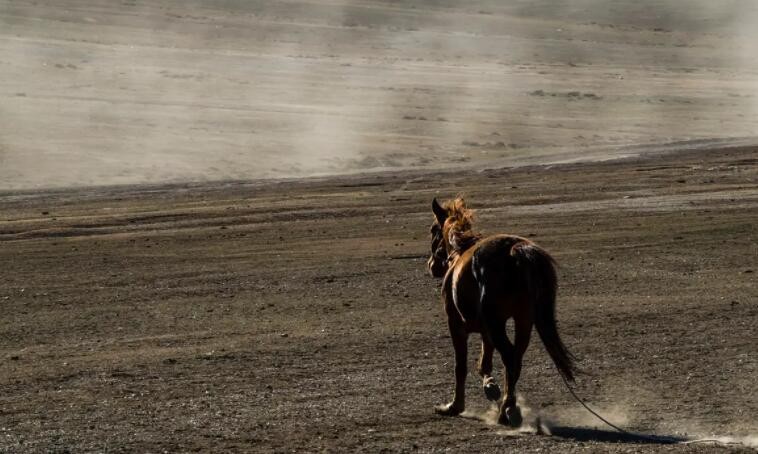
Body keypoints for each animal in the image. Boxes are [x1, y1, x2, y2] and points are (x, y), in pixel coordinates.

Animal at [428, 197, 576, 428]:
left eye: (433, 230)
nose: (431, 265)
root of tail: (514, 251)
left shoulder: (456, 324)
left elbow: (460, 366)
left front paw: (454, 406)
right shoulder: (486, 330)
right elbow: (484, 363)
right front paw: (490, 386)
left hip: (497, 323)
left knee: (509, 357)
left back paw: (507, 411)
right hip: (523, 321)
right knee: (516, 359)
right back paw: (507, 406)